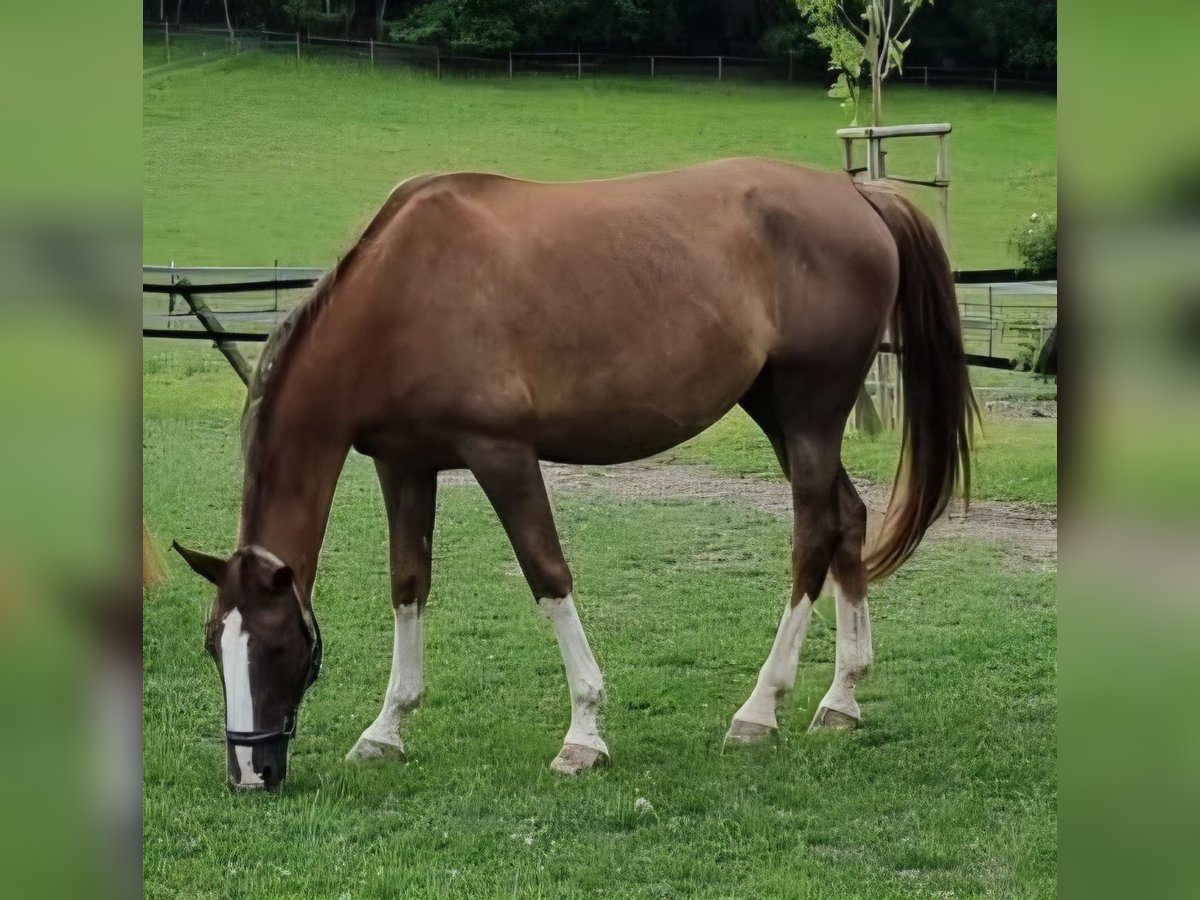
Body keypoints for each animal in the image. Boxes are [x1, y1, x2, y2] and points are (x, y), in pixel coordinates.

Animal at [172, 158, 975, 790]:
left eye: (278, 646)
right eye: (214, 645)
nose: (249, 774)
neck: (404, 292)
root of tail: (859, 194)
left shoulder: (502, 454)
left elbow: (547, 576)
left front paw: (583, 735)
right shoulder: (404, 464)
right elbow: (408, 585)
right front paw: (385, 729)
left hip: (810, 412)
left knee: (812, 535)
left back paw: (760, 709)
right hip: (777, 410)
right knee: (848, 521)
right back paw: (840, 699)